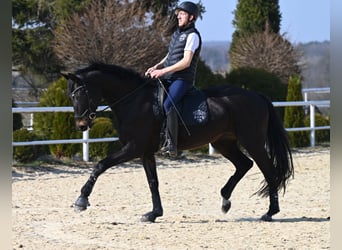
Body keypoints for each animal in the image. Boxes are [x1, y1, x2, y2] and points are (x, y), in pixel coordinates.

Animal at [63, 62, 294, 221]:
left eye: (79, 94)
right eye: (71, 96)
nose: (81, 125)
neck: (134, 101)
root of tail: (257, 96)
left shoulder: (133, 148)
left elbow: (101, 165)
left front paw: (81, 200)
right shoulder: (145, 152)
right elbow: (153, 182)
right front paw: (154, 213)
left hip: (252, 142)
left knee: (268, 171)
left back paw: (270, 212)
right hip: (224, 143)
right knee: (244, 164)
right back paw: (225, 200)